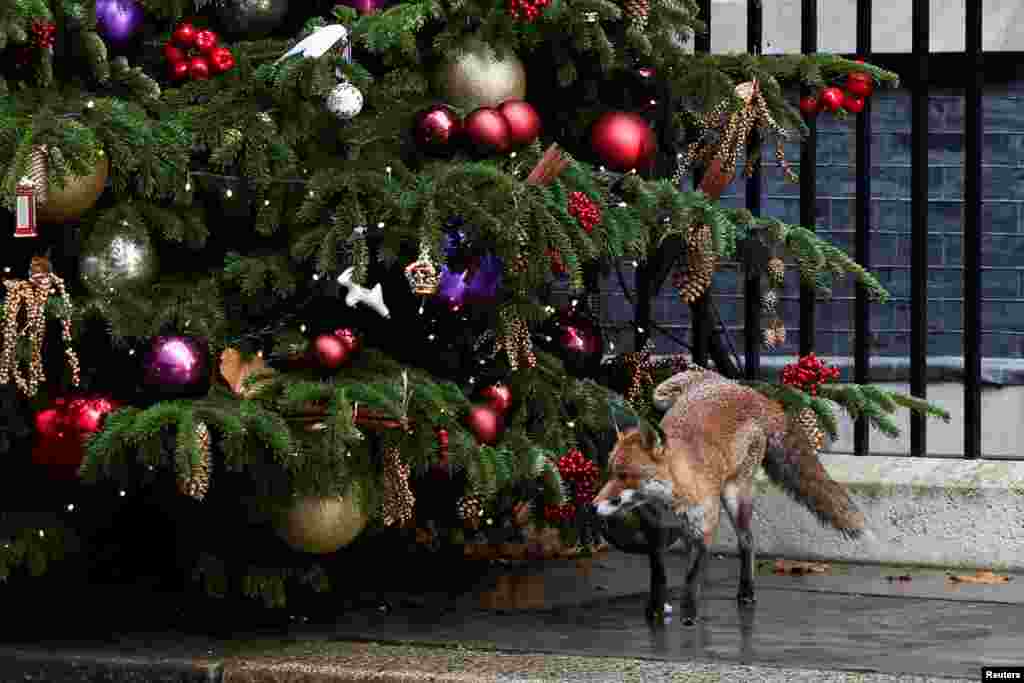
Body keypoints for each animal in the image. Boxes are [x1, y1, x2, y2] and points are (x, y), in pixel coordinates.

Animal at [593, 368, 864, 626]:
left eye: (624, 475)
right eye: (610, 472)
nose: (593, 505)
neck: (669, 501)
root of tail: (738, 386)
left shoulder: (704, 529)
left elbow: (691, 578)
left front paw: (688, 617)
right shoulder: (656, 533)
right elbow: (659, 576)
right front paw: (656, 611)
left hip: (735, 497)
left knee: (747, 542)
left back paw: (746, 593)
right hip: (661, 396)